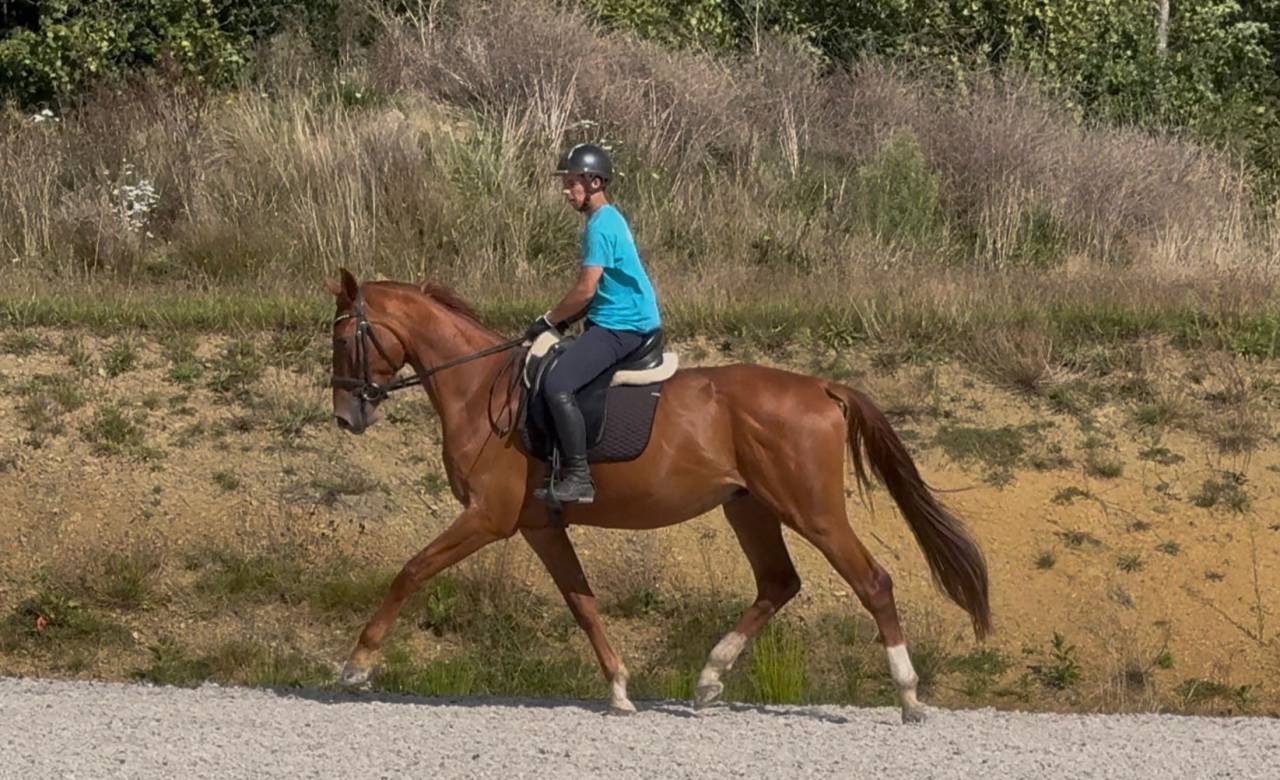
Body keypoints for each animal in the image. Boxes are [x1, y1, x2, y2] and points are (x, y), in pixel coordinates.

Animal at [325, 268, 990, 723]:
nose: (345, 417)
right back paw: (709, 679)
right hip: (749, 506)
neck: (479, 386)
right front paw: (620, 690)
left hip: (814, 511)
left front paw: (357, 665)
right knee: (778, 583)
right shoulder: (541, 526)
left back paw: (908, 696)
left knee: (872, 582)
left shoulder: (486, 517)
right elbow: (583, 603)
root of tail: (822, 387)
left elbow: (412, 571)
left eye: (344, 338)